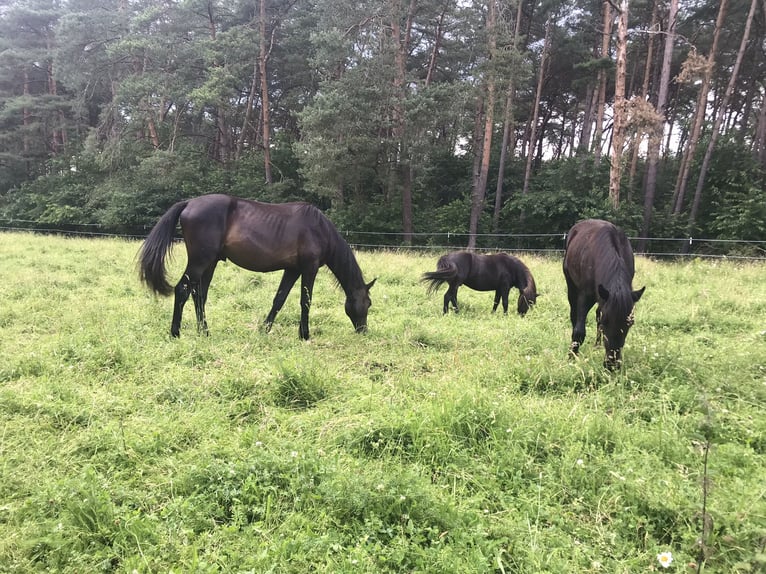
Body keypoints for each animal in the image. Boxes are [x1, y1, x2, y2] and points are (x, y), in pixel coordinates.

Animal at [140, 196, 378, 340]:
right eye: (367, 303)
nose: (363, 331)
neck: (319, 228)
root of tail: (189, 203)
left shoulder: (292, 270)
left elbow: (279, 299)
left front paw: (265, 329)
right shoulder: (309, 268)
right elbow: (306, 301)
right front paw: (304, 335)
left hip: (210, 263)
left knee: (199, 295)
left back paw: (205, 332)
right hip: (200, 261)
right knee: (182, 289)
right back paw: (175, 332)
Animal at [564, 218, 648, 372]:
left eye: (630, 323)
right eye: (606, 322)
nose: (612, 365)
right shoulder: (585, 296)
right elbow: (579, 331)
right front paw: (571, 357)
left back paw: (597, 345)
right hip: (571, 286)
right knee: (574, 315)